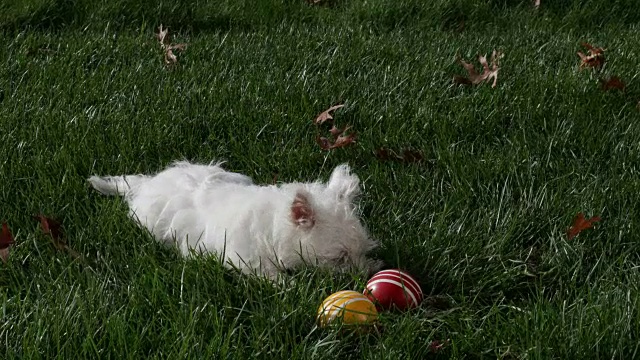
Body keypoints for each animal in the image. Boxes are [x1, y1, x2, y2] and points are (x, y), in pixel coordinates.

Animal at [89, 161, 380, 278]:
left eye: (364, 251)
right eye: (339, 258)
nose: (367, 273)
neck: (274, 227)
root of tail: (147, 184)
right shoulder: (247, 261)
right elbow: (272, 277)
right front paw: (290, 287)